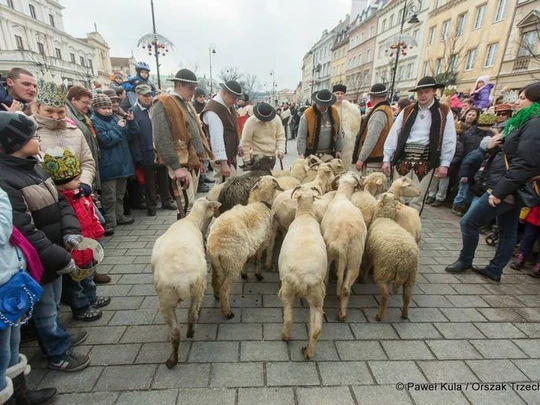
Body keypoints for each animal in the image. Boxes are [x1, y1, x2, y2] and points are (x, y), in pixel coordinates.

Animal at [151, 197, 220, 368]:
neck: (192, 221)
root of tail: (181, 282)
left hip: (166, 300)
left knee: (178, 328)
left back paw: (174, 358)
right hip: (196, 290)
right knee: (191, 317)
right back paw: (186, 339)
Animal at [208, 175, 282, 318]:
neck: (262, 204)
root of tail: (214, 247)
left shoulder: (248, 247)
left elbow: (247, 260)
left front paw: (245, 273)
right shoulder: (263, 242)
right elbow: (258, 259)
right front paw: (258, 274)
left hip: (218, 264)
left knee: (214, 281)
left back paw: (216, 296)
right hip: (232, 263)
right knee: (224, 288)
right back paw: (227, 312)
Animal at [280, 185, 326, 358]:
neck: (305, 215)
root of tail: (302, 279)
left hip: (288, 291)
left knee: (288, 319)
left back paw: (285, 337)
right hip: (317, 298)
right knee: (316, 329)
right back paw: (308, 352)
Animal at [320, 172, 368, 320]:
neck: (342, 197)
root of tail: (345, 239)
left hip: (330, 253)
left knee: (326, 280)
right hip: (355, 259)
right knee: (346, 288)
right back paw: (342, 314)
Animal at [364, 193, 420, 322]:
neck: (384, 218)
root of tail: (404, 261)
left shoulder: (369, 252)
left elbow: (367, 265)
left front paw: (362, 279)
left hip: (383, 272)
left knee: (385, 295)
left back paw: (379, 316)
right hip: (411, 276)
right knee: (407, 295)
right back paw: (404, 314)